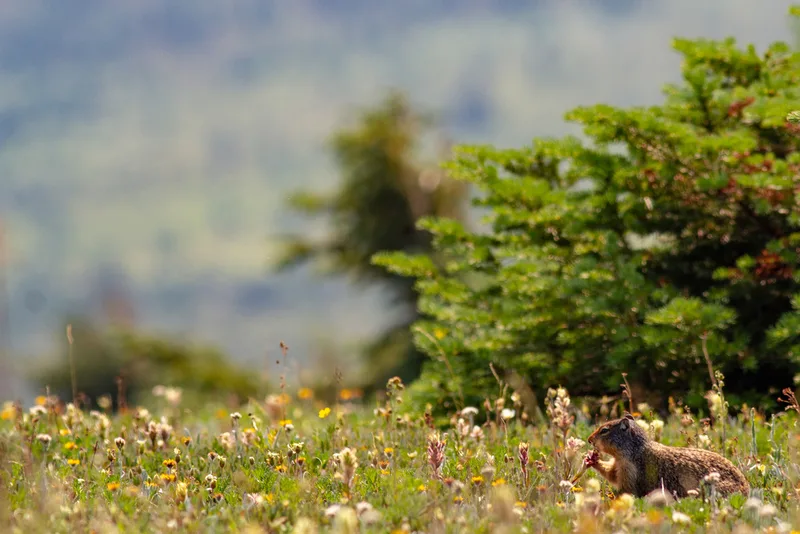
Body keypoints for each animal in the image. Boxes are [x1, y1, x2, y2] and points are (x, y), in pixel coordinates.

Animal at [584, 413, 750, 499]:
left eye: (604, 430)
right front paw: (591, 459)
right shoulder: (618, 464)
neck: (634, 449)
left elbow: (626, 487)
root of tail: (748, 490)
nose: (589, 439)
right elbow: (611, 474)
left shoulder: (629, 469)